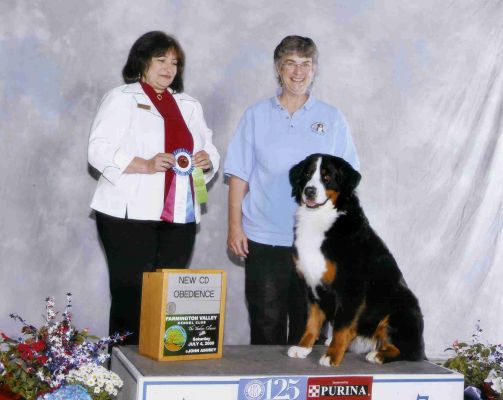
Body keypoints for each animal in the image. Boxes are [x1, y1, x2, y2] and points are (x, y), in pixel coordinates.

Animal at [288, 155, 426, 368]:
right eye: (307, 174)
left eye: (327, 177)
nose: (309, 191)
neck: (320, 220)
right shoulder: (311, 286)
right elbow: (312, 321)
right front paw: (303, 347)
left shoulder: (351, 287)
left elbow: (341, 326)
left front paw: (332, 355)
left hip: (401, 308)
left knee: (408, 351)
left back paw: (378, 355)